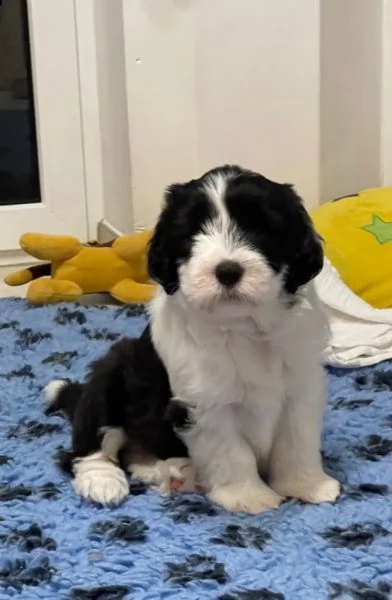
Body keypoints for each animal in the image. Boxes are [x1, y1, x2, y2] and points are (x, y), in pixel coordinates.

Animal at [46, 166, 340, 512]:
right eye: (192, 233)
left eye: (259, 228)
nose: (228, 271)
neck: (243, 326)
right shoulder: (206, 405)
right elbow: (232, 452)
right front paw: (249, 497)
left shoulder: (301, 388)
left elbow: (296, 442)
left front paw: (306, 486)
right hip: (113, 370)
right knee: (87, 448)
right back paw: (104, 482)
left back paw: (171, 472)